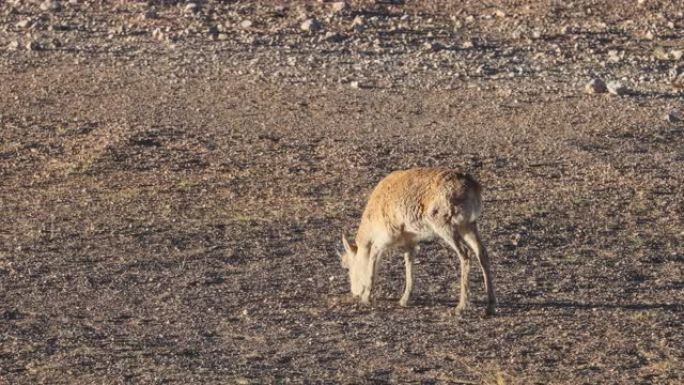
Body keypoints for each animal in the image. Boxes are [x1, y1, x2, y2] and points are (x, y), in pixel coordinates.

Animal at [342, 168, 496, 316]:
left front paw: (366, 298)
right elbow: (409, 266)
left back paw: (461, 307)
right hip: (468, 225)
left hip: (445, 225)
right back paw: (490, 306)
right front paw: (404, 299)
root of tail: (473, 187)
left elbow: (373, 258)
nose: (354, 292)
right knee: (482, 252)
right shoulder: (410, 243)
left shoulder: (385, 239)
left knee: (465, 253)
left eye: (348, 266)